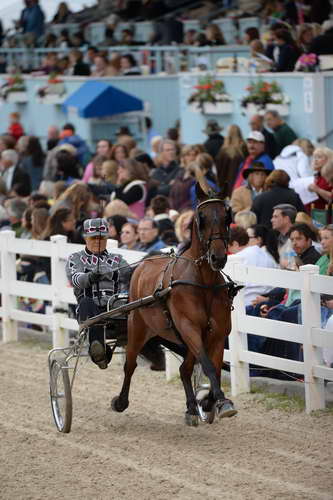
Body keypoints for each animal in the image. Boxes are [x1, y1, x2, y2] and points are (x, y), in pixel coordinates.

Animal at [111, 185, 239, 426]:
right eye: (201, 218)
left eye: (227, 216)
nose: (218, 257)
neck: (204, 283)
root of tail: (145, 262)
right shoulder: (189, 327)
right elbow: (208, 366)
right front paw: (216, 401)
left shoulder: (217, 334)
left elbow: (215, 369)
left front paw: (212, 402)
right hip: (138, 327)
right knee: (130, 364)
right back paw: (121, 401)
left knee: (185, 368)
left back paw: (192, 408)